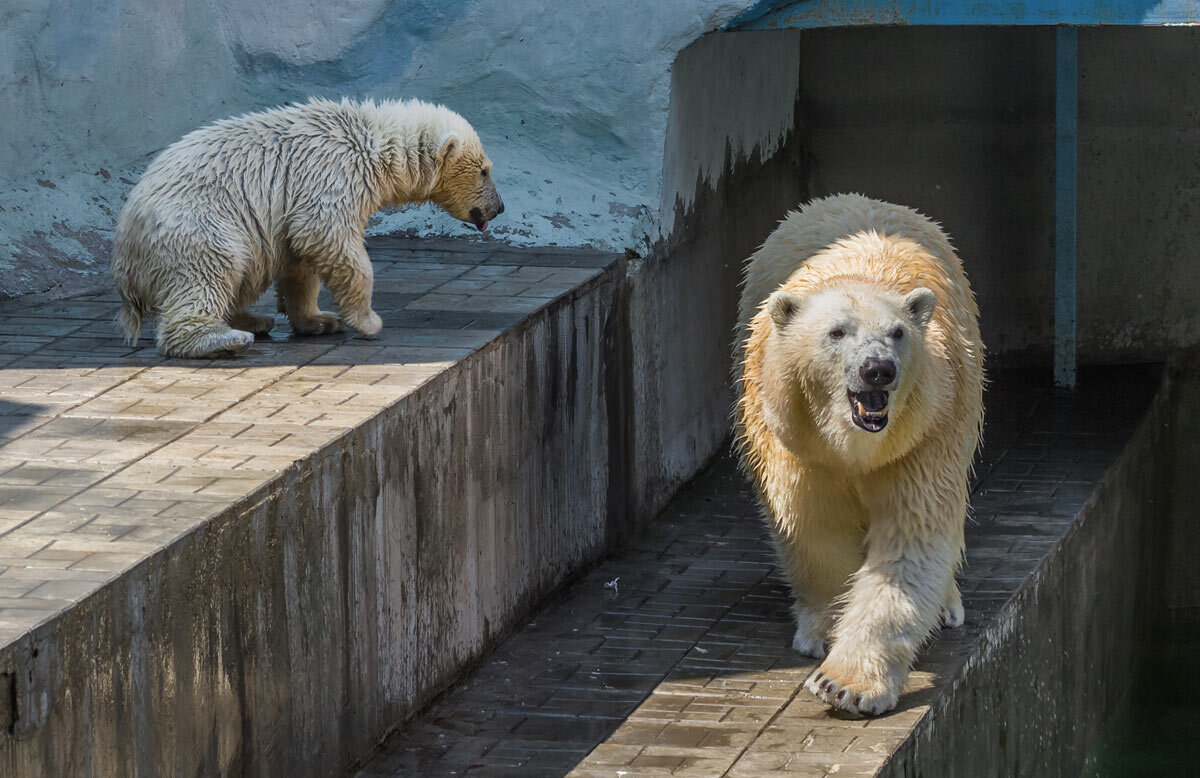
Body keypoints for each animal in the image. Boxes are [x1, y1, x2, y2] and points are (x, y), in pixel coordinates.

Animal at [110, 96, 504, 357]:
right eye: (485, 170)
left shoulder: (295, 202)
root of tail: (125, 257)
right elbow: (329, 238)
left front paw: (319, 320)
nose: (499, 208)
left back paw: (253, 319)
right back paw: (224, 339)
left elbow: (300, 259)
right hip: (196, 227)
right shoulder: (333, 174)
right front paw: (368, 321)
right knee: (209, 270)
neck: (373, 141)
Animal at [729, 194, 984, 715]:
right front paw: (823, 633)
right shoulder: (798, 444)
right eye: (836, 332)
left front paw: (845, 685)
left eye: (897, 333)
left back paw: (949, 605)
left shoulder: (923, 435)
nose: (877, 370)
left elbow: (911, 539)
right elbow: (814, 524)